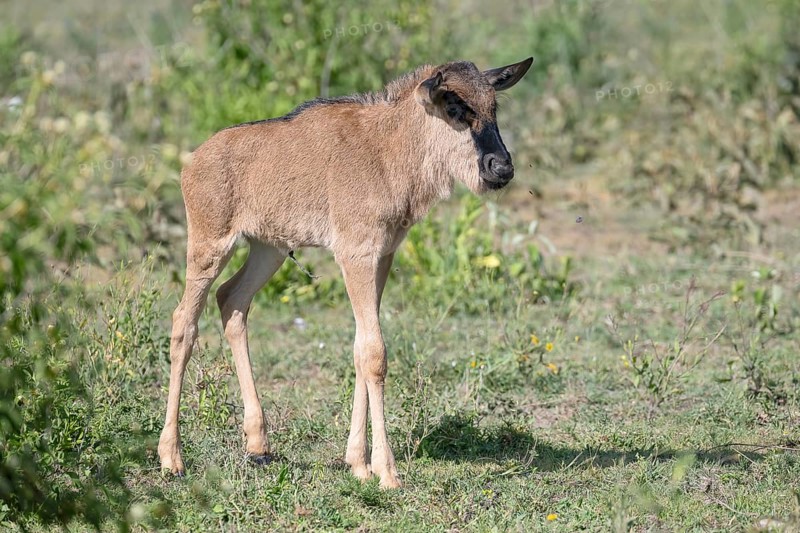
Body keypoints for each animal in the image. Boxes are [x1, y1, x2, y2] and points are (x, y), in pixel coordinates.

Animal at [158, 57, 533, 488]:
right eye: (455, 107)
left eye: (493, 106)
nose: (501, 168)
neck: (390, 150)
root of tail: (192, 162)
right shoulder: (355, 256)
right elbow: (374, 353)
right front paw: (386, 471)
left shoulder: (381, 256)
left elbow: (359, 348)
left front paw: (358, 462)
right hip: (209, 247)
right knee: (184, 324)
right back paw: (171, 457)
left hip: (269, 250)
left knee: (232, 301)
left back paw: (258, 443)